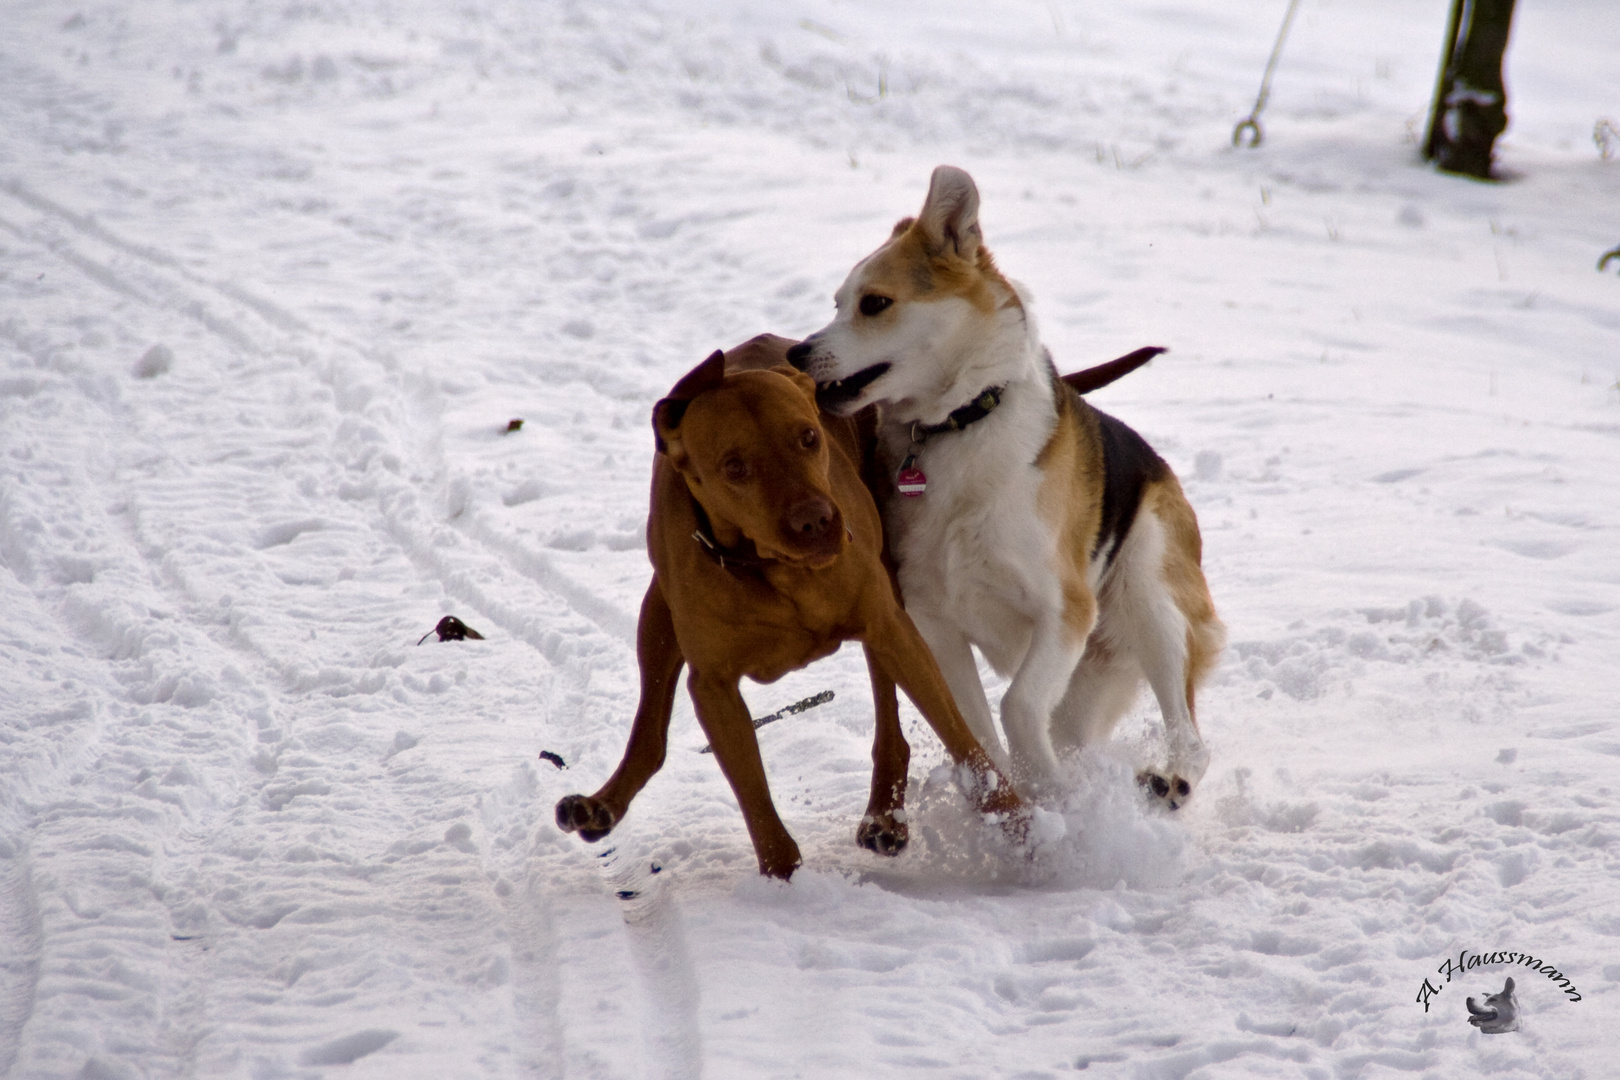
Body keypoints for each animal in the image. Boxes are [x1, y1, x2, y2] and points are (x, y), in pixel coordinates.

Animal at [550, 335, 1017, 880]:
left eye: (808, 438)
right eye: (734, 466)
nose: (816, 522)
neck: (773, 567)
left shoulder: (890, 627)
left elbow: (961, 738)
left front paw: (1017, 821)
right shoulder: (713, 687)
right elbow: (753, 795)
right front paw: (784, 878)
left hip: (888, 604)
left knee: (890, 720)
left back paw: (885, 814)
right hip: (656, 615)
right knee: (650, 733)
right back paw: (601, 804)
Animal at [787, 166, 1224, 809]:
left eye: (874, 304)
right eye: (837, 304)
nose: (797, 352)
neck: (958, 424)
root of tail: (1159, 465)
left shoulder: (1065, 609)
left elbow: (1017, 706)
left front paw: (1050, 789)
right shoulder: (935, 625)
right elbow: (976, 735)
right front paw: (1007, 803)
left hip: (1150, 599)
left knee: (1189, 733)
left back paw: (1173, 779)